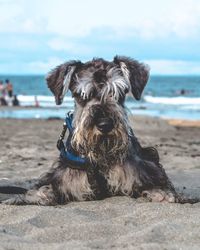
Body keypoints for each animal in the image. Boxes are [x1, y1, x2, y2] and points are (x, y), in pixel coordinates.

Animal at [2, 56, 179, 205]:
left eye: (119, 94)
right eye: (82, 95)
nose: (105, 124)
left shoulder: (144, 167)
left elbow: (158, 181)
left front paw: (161, 193)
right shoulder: (61, 175)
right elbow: (40, 188)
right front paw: (38, 195)